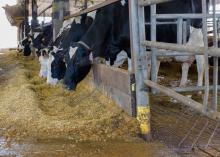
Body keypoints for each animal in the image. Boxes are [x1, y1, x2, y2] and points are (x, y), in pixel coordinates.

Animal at [63, 0, 208, 90]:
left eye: (77, 61)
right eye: (66, 61)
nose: (64, 84)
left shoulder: (129, 49)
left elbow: (130, 70)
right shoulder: (113, 52)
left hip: (199, 45)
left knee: (201, 67)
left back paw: (199, 89)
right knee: (185, 66)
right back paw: (182, 85)